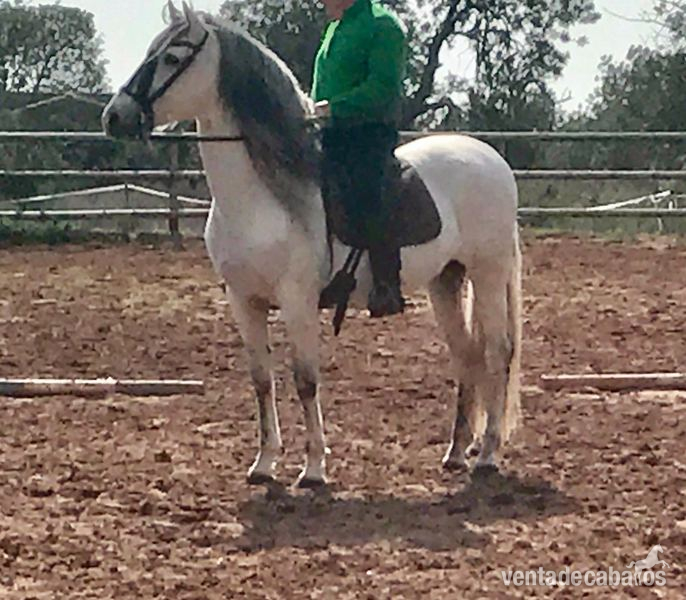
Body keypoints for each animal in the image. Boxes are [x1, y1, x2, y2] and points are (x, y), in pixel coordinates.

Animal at [102, 1, 523, 488]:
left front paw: (314, 468)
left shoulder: (296, 299)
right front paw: (265, 462)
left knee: (496, 352)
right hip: (446, 281)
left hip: (488, 274)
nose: (115, 117)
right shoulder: (243, 300)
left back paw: (487, 453)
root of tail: (492, 159)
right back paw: (456, 452)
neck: (263, 197)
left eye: (171, 58)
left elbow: (305, 379)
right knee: (466, 354)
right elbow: (261, 379)